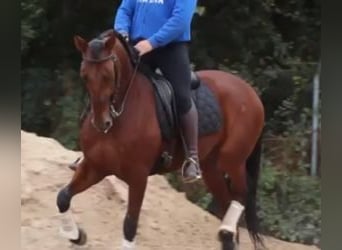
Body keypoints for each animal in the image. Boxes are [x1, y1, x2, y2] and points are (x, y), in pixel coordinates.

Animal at [55, 29, 264, 250]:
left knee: (242, 194)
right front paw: (75, 235)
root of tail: (250, 91)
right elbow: (63, 197)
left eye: (107, 75)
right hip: (211, 167)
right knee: (226, 202)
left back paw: (227, 228)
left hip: (232, 160)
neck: (121, 113)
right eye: (84, 75)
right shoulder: (95, 167)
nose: (101, 123)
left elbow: (130, 224)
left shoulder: (138, 177)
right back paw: (227, 234)